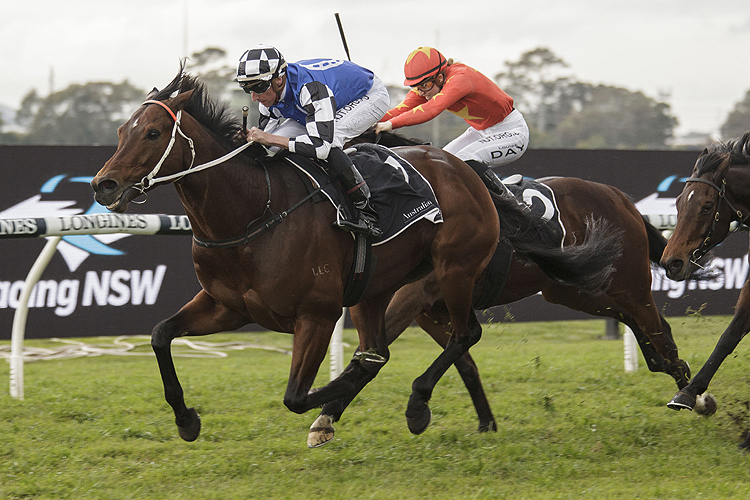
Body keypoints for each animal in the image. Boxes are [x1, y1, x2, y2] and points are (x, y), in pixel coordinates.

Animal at [89, 67, 616, 446]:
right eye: (120, 130)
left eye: (153, 132)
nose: (103, 185)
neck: (253, 212)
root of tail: (466, 169)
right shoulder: (227, 306)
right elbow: (160, 335)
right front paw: (186, 419)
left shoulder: (317, 314)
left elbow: (297, 395)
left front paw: (331, 405)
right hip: (376, 287)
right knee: (385, 346)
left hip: (455, 269)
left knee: (463, 334)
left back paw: (414, 405)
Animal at [306, 134, 692, 446]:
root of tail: (621, 198)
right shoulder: (433, 308)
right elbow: (464, 363)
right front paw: (485, 423)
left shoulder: (414, 296)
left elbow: (380, 347)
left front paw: (333, 413)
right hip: (572, 288)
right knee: (636, 320)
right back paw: (665, 368)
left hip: (629, 280)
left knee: (657, 326)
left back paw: (689, 390)